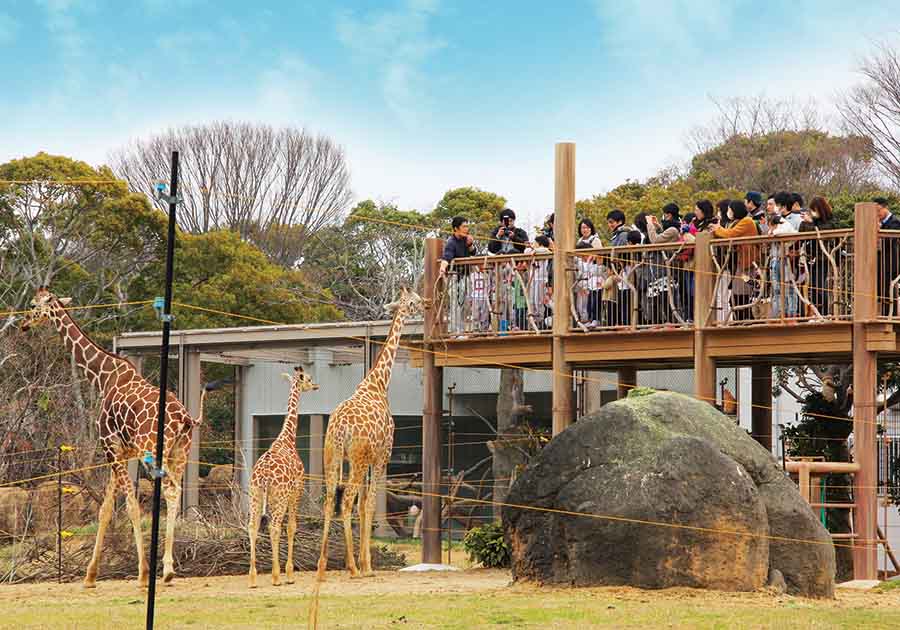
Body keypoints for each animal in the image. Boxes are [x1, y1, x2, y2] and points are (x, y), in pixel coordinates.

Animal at [20, 288, 207, 592]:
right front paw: (90, 575)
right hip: (180, 451)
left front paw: (142, 573)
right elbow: (105, 509)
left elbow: (130, 506)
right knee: (176, 493)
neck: (102, 376)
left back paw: (163, 571)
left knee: (168, 491)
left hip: (154, 450)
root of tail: (185, 417)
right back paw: (169, 569)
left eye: (34, 305)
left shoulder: (109, 446)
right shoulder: (120, 451)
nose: (24, 324)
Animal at [246, 368, 320, 592]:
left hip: (255, 496)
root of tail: (263, 477)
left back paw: (252, 579)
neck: (287, 439)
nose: (316, 386)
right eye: (309, 379)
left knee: (252, 526)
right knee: (274, 527)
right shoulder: (297, 490)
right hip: (278, 498)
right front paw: (289, 574)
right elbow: (292, 527)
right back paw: (277, 576)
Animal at [308, 288, 424, 628]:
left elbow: (362, 506)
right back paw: (354, 568)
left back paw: (323, 565)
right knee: (346, 502)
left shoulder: (366, 460)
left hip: (333, 458)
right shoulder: (381, 457)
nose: (426, 305)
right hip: (357, 460)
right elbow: (369, 505)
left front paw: (362, 560)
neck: (379, 383)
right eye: (413, 300)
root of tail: (341, 428)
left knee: (330, 502)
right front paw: (368, 564)